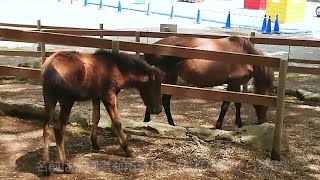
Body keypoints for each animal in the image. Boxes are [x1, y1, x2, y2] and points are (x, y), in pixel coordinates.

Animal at [144, 35, 274, 129]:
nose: (262, 121)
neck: (246, 55)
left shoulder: (236, 84)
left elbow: (238, 103)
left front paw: (239, 123)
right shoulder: (233, 83)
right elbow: (225, 105)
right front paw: (219, 125)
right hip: (168, 77)